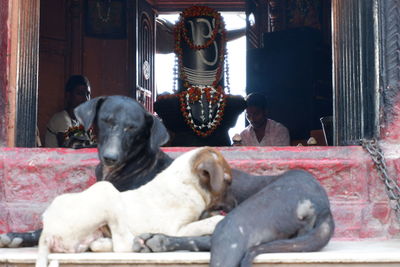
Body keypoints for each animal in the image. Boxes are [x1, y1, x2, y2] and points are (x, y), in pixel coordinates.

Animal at [36, 147, 234, 267]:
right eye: (228, 182)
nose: (234, 204)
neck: (187, 183)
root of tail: (46, 231)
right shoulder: (176, 230)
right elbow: (208, 221)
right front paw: (219, 218)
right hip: (106, 189)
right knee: (122, 245)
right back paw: (140, 242)